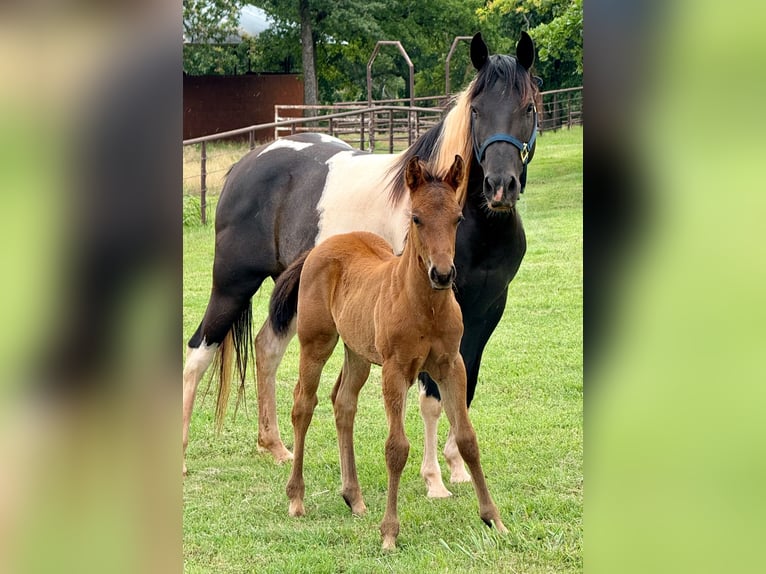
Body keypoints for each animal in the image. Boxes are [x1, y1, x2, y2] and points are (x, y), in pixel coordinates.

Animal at [182, 32, 540, 497]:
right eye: (476, 110)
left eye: (528, 107)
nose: (499, 187)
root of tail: (248, 163)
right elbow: (431, 397)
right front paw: (433, 479)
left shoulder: (486, 311)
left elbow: (464, 388)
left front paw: (457, 466)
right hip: (231, 285)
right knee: (197, 353)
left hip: (296, 293)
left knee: (267, 348)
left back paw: (276, 447)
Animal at [270, 155, 506, 550]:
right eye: (416, 218)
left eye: (458, 218)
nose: (443, 274)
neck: (425, 307)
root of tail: (321, 247)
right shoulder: (396, 370)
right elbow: (396, 448)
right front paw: (390, 533)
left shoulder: (450, 365)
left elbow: (467, 439)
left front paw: (494, 519)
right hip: (316, 342)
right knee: (304, 404)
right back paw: (296, 497)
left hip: (358, 352)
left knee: (343, 402)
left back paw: (354, 497)